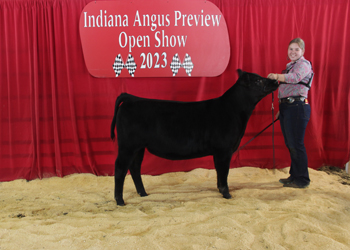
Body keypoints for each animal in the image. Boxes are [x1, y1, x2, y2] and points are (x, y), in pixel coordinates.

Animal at [110, 69, 278, 206]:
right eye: (258, 80)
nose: (276, 81)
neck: (234, 110)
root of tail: (131, 98)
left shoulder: (219, 152)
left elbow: (219, 171)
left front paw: (220, 190)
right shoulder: (224, 150)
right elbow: (224, 172)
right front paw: (227, 194)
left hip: (139, 147)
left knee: (135, 168)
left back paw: (143, 193)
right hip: (127, 146)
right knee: (120, 168)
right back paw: (120, 201)